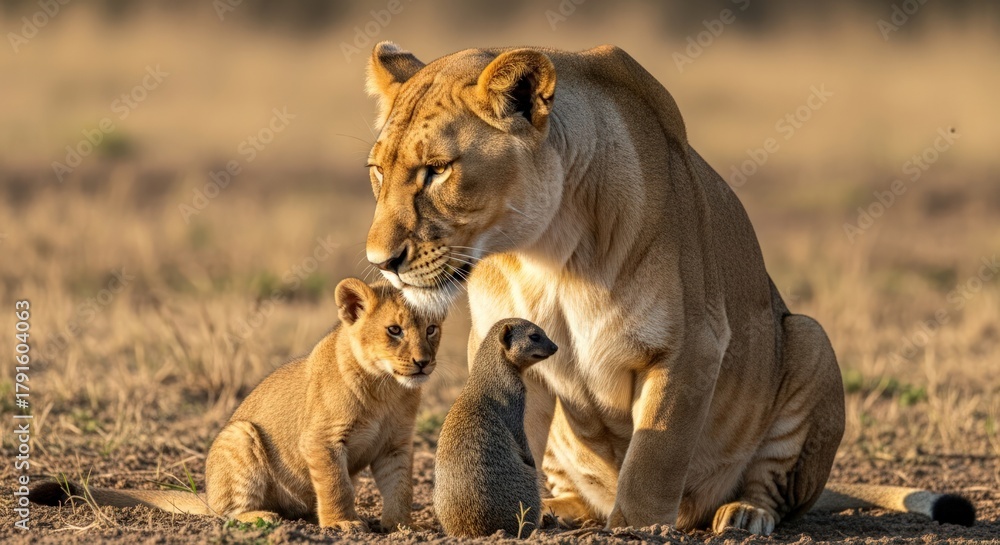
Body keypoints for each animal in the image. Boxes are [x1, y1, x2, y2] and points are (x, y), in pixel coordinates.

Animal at [361, 42, 975, 534]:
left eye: (438, 170)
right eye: (377, 171)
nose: (380, 262)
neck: (547, 253)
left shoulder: (693, 345)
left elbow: (655, 453)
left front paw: (638, 528)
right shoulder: (505, 346)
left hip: (810, 336)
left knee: (769, 487)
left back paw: (741, 515)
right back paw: (561, 509)